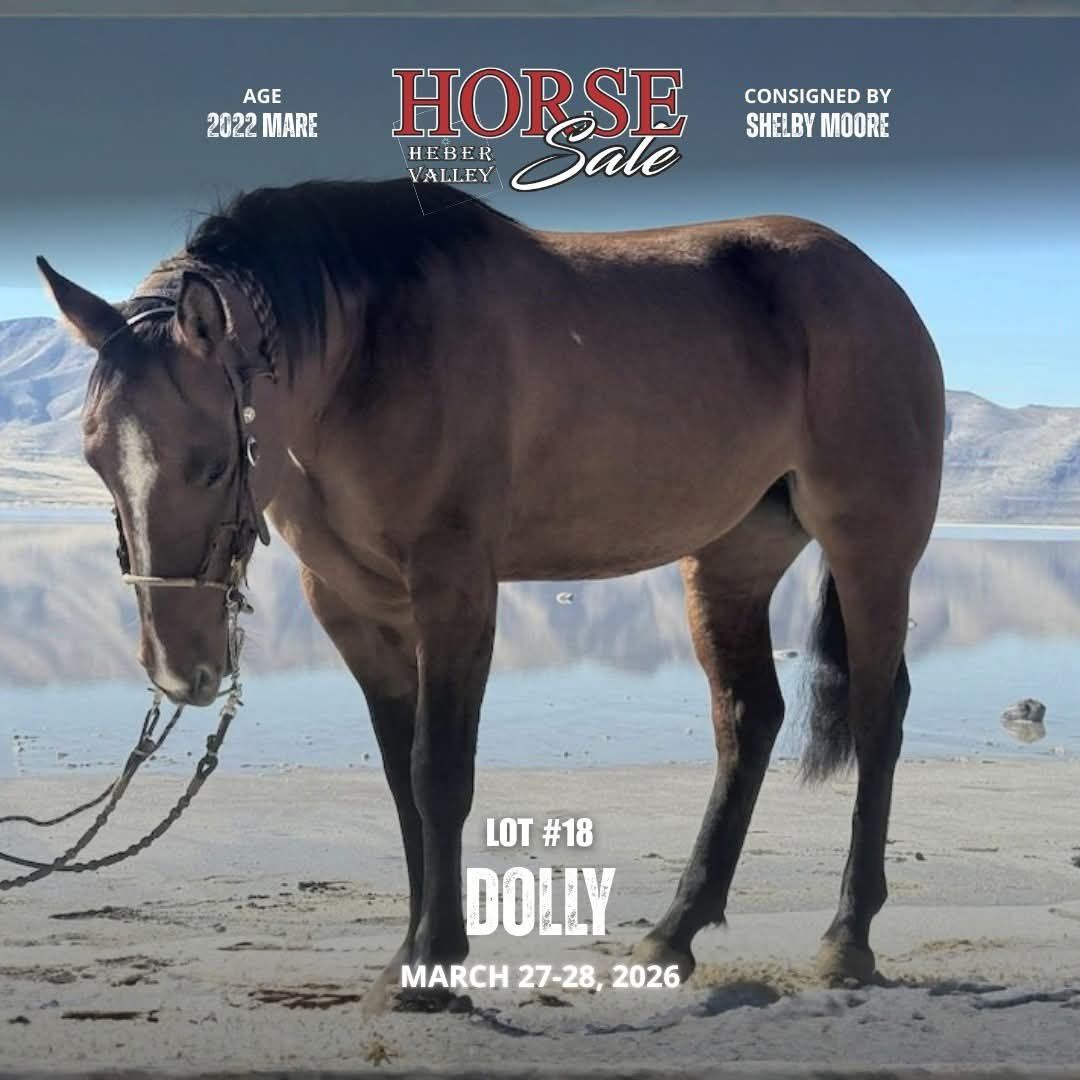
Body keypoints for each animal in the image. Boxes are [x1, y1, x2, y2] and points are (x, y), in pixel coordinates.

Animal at [38, 178, 944, 1002]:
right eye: (96, 460)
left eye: (212, 462)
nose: (177, 669)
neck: (366, 356)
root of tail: (881, 289)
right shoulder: (354, 608)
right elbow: (402, 778)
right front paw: (414, 953)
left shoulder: (456, 591)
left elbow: (439, 771)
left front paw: (436, 963)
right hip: (730, 559)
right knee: (749, 718)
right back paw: (674, 932)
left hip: (871, 548)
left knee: (877, 717)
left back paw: (848, 937)